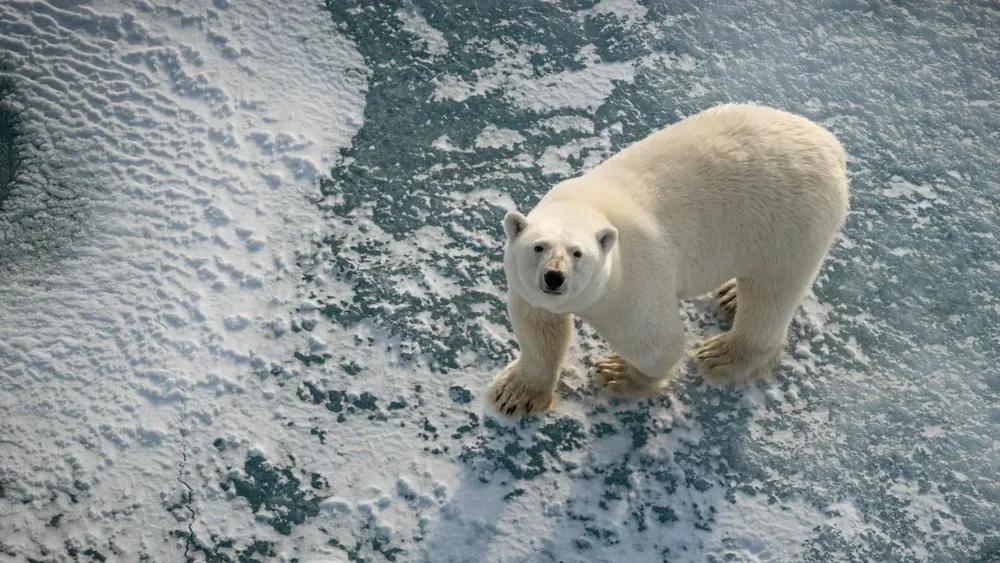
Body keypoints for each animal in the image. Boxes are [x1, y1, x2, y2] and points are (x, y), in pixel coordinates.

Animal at [487, 103, 849, 417]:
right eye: (539, 247)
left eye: (578, 253)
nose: (554, 277)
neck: (587, 206)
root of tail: (832, 145)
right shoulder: (530, 290)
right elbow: (538, 327)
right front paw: (513, 394)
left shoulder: (633, 279)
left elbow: (656, 343)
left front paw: (618, 373)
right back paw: (731, 295)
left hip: (790, 224)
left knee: (771, 294)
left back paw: (722, 355)